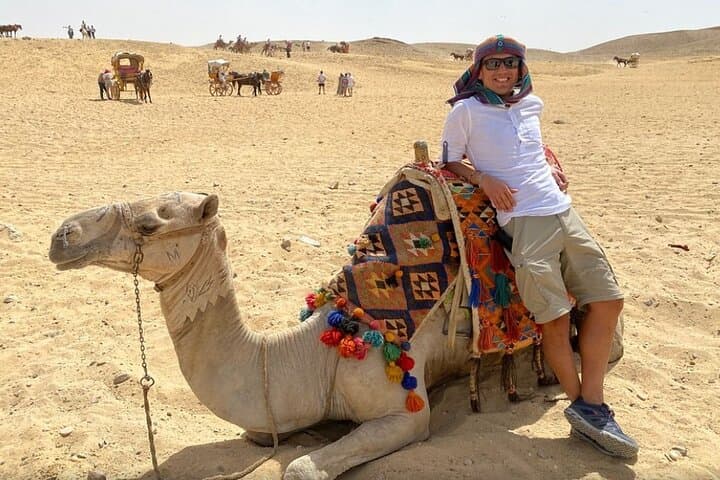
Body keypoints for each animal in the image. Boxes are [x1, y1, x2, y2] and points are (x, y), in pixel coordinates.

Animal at [48, 187, 623, 479]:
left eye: (150, 223)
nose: (62, 235)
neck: (313, 351)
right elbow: (265, 434)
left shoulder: (404, 411)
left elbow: (300, 469)